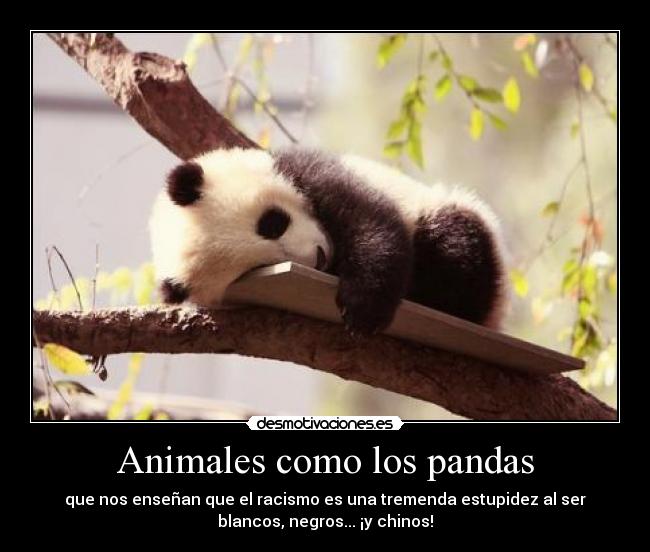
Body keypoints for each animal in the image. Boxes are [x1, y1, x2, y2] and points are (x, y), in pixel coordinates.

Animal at [149, 147, 508, 334]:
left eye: (272, 223)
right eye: (259, 268)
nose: (319, 258)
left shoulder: (310, 170)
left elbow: (370, 220)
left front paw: (363, 309)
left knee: (456, 247)